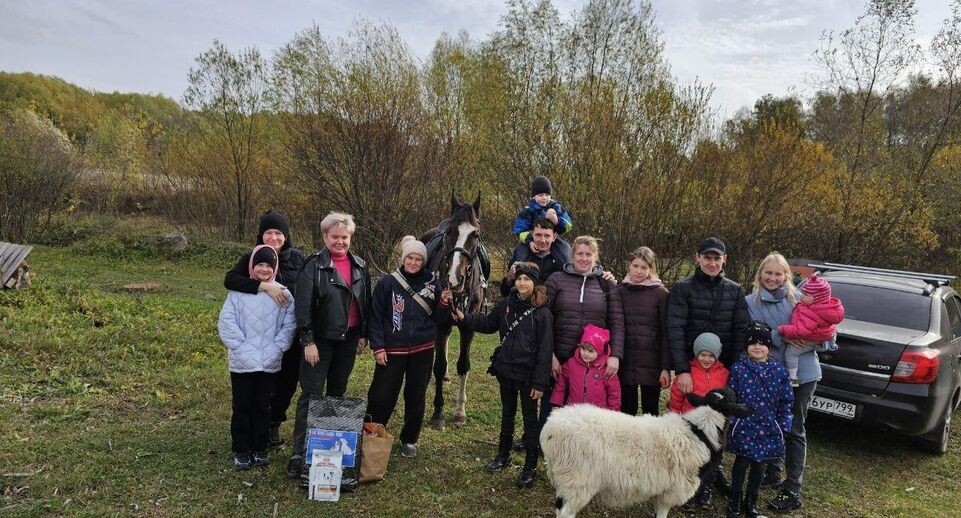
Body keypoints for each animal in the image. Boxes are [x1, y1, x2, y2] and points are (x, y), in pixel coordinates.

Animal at [420, 194, 488, 430]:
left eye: (475, 234)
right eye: (449, 232)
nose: (454, 279)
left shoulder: (468, 327)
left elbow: (464, 365)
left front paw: (459, 411)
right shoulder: (441, 324)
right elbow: (439, 366)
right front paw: (438, 413)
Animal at [540, 390, 752, 518]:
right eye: (733, 399)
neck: (701, 433)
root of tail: (550, 430)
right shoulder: (671, 492)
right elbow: (662, 514)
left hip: (565, 480)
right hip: (579, 481)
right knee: (566, 513)